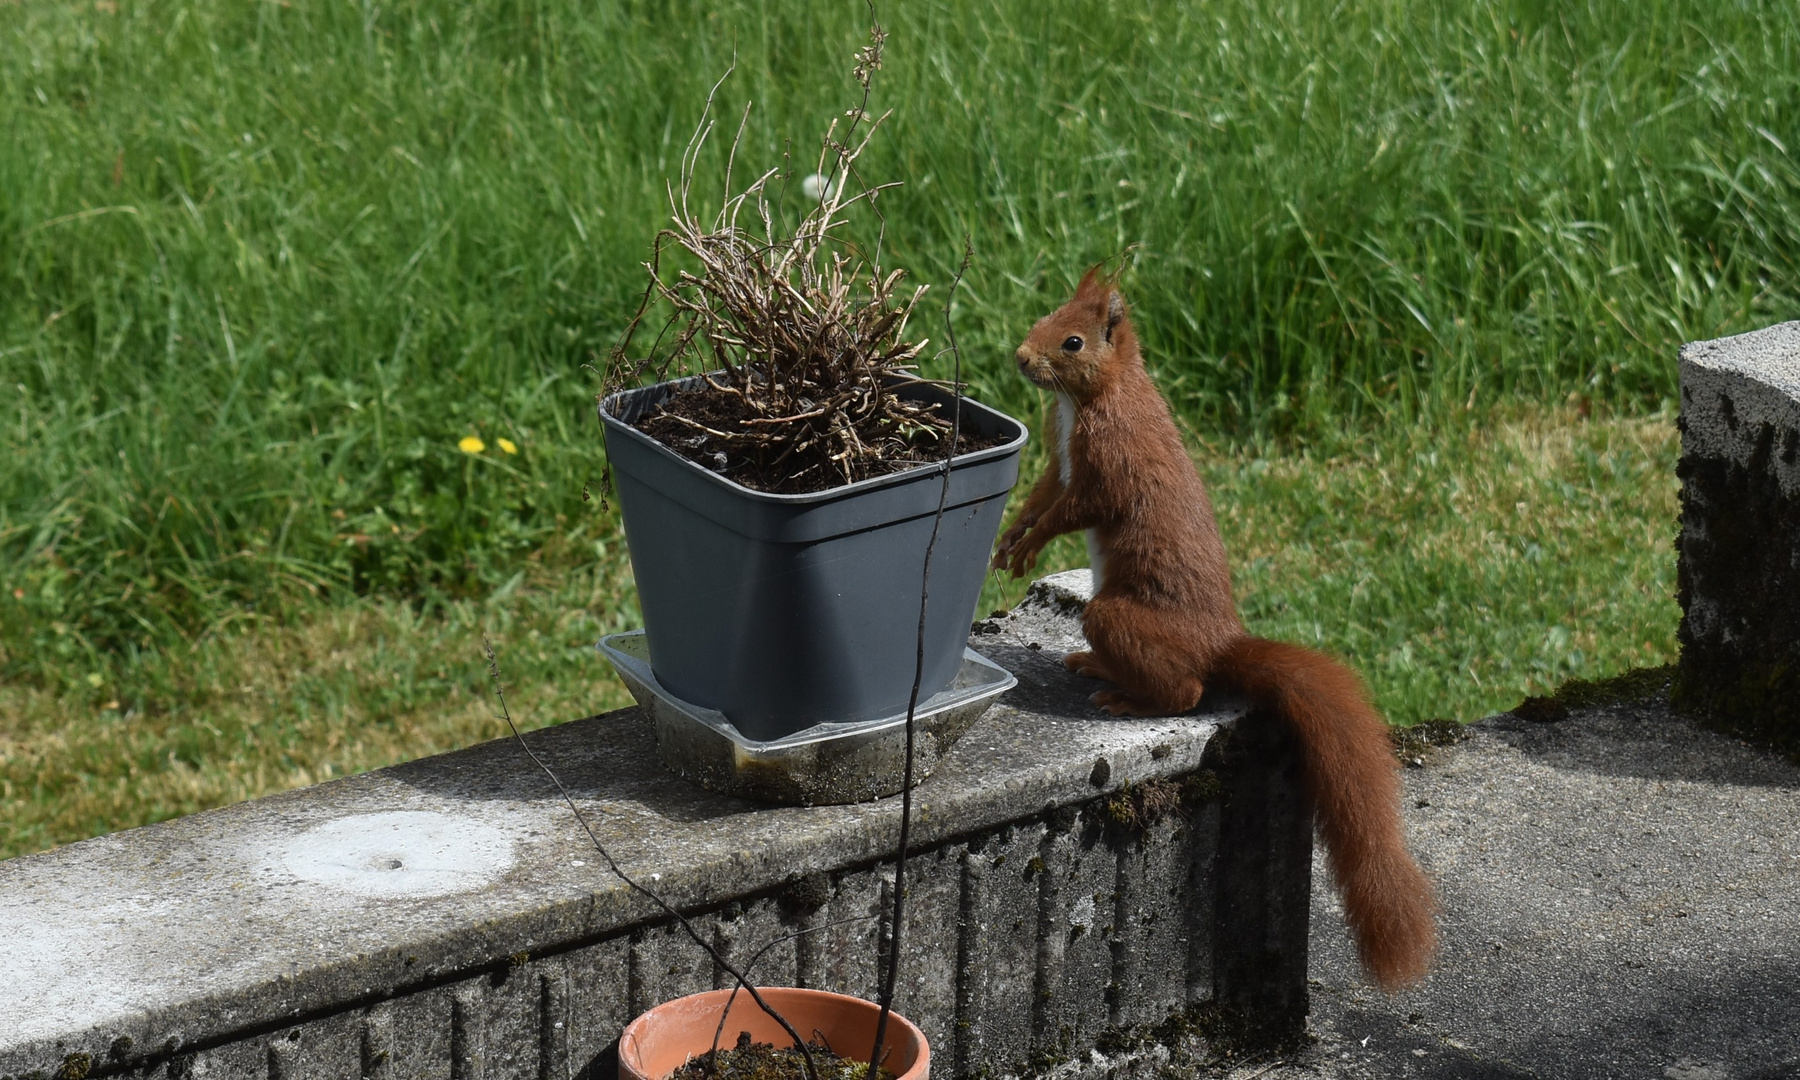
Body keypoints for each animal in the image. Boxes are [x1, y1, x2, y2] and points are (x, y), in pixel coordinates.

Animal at [1000, 268, 1432, 986]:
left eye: (1072, 340)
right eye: (1046, 313)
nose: (1021, 357)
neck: (1086, 399)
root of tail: (1220, 642)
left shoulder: (1109, 463)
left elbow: (1072, 509)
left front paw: (1028, 546)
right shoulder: (1056, 462)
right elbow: (1040, 496)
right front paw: (1010, 539)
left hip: (1112, 615)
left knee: (1187, 691)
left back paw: (1127, 698)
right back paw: (1094, 666)